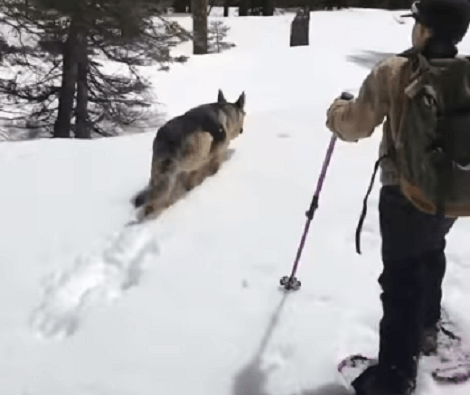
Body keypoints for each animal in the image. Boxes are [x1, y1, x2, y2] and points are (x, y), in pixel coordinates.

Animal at [130, 89, 244, 220]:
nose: (241, 130)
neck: (225, 111)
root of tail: (165, 138)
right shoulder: (216, 152)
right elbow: (214, 164)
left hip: (159, 171)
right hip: (197, 150)